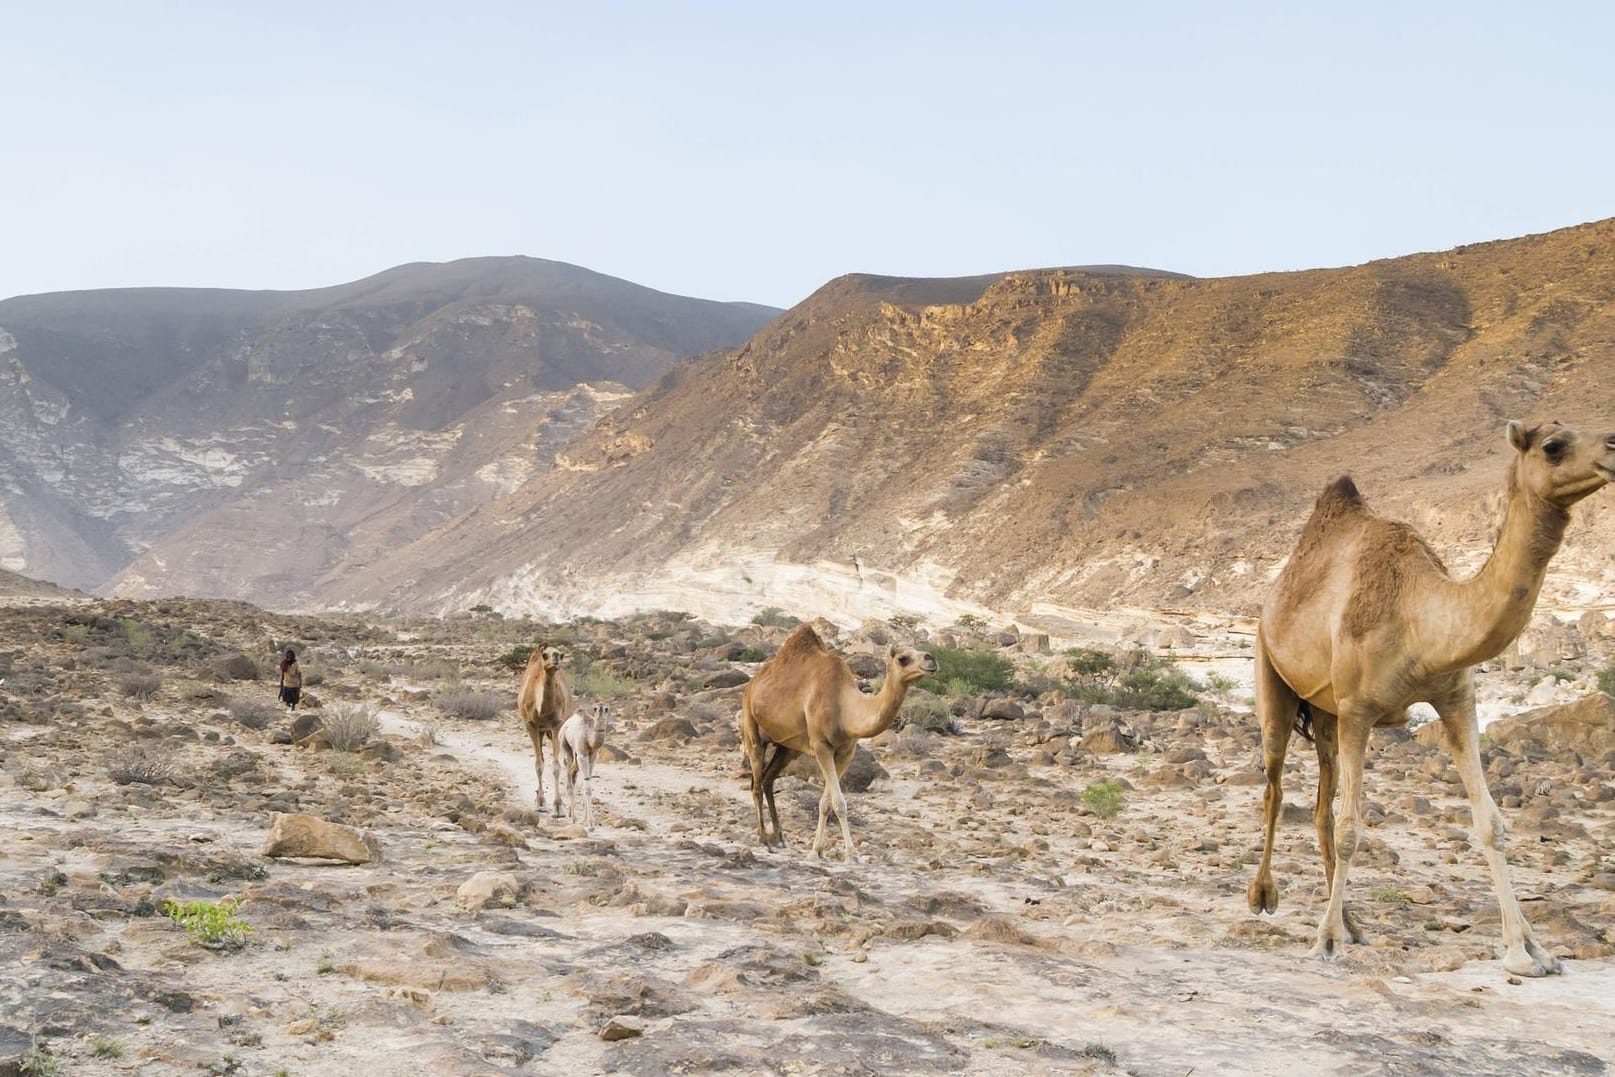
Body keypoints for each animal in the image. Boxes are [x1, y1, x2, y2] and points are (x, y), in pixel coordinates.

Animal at [516, 645, 574, 813]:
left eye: (560, 654)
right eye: (545, 655)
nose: (556, 658)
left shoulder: (556, 724)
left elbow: (556, 766)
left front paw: (558, 806)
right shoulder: (531, 725)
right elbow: (539, 764)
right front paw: (540, 802)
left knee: (567, 759)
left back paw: (569, 793)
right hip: (542, 731)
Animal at [555, 704, 607, 833]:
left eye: (606, 709)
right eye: (595, 708)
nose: (600, 710)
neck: (590, 738)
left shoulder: (593, 757)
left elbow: (586, 785)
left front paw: (585, 819)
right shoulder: (582, 755)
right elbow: (587, 788)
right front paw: (590, 824)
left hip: (576, 757)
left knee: (573, 774)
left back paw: (571, 813)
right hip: (565, 745)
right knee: (569, 777)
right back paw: (573, 817)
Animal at [739, 623, 943, 859]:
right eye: (903, 658)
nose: (931, 659)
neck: (846, 708)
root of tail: (752, 683)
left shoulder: (846, 751)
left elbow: (826, 802)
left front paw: (817, 850)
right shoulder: (821, 746)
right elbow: (839, 802)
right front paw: (851, 854)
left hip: (787, 747)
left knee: (768, 779)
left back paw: (780, 839)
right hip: (751, 727)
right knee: (755, 783)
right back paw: (764, 841)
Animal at [1246, 419, 1615, 975]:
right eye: (1553, 447)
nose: (1614, 449)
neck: (1418, 614)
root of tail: (1272, 598)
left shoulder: (1456, 699)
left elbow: (1491, 823)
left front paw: (1528, 949)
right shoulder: (1359, 709)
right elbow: (1353, 828)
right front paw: (1325, 941)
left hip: (1326, 713)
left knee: (1320, 807)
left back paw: (1353, 923)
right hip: (1273, 673)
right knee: (1274, 786)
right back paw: (1266, 897)